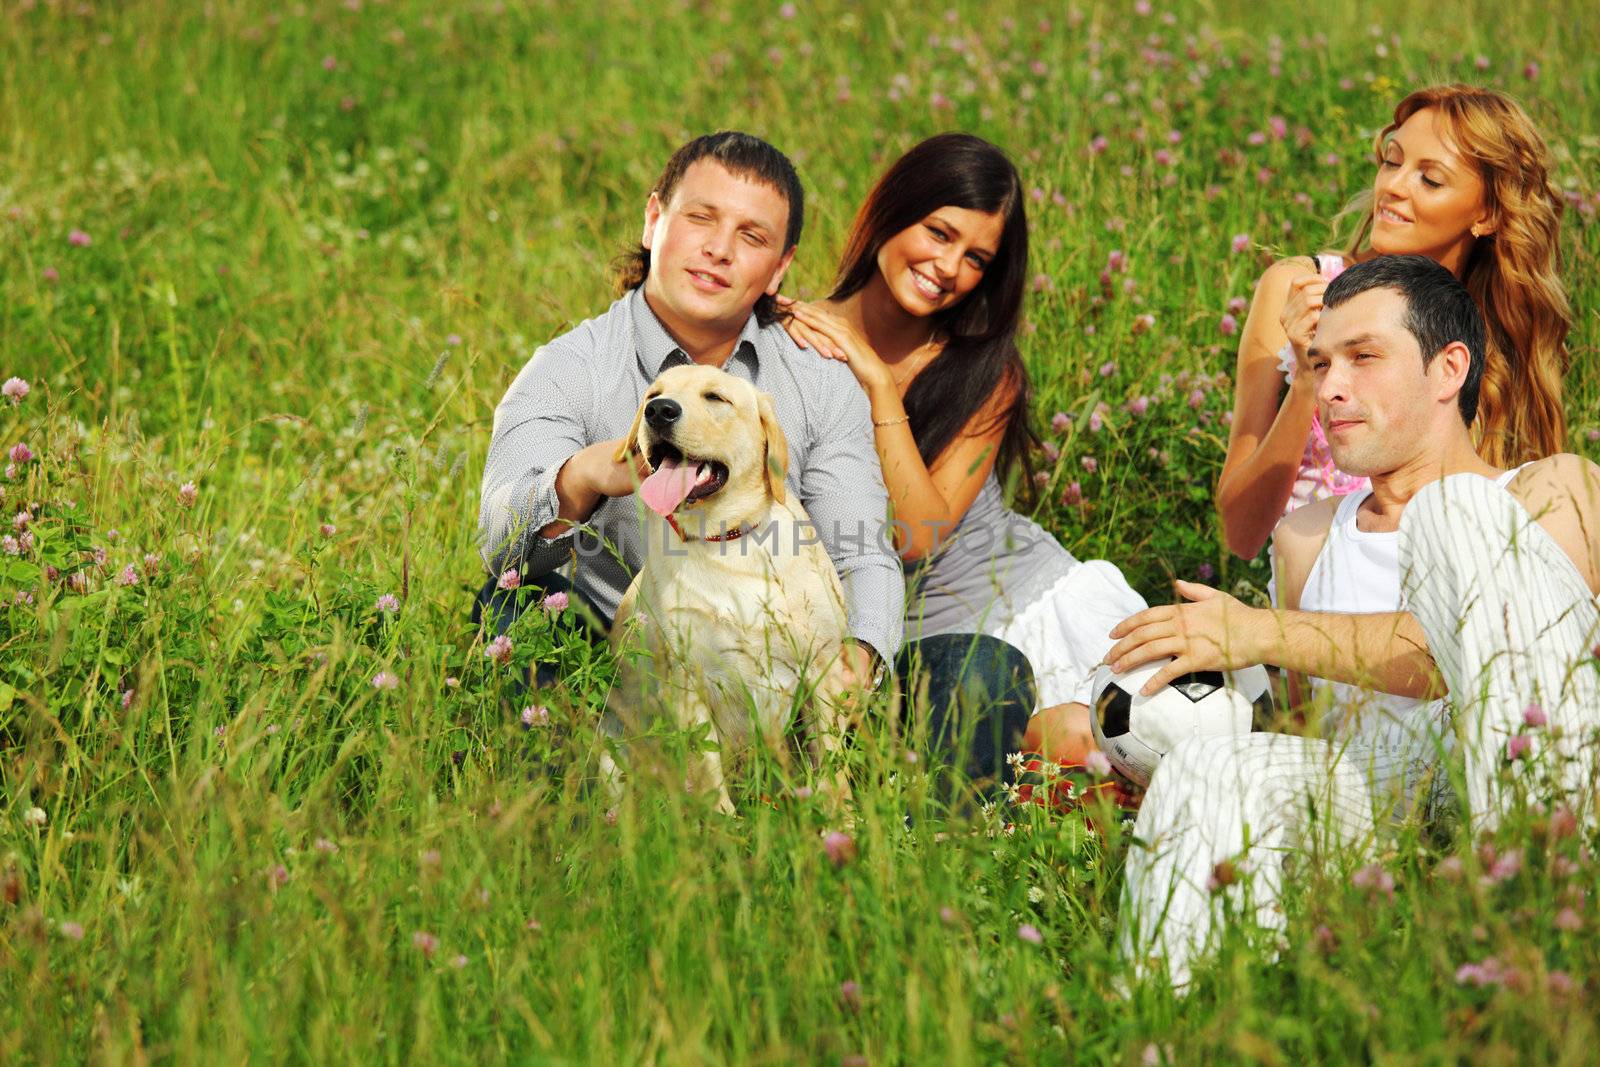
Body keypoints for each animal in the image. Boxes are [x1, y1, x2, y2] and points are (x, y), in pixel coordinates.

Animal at [601, 363, 851, 812]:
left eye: (715, 397)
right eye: (653, 395)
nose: (659, 411)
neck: (727, 540)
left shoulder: (822, 669)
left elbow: (833, 772)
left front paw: (845, 821)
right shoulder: (687, 684)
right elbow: (708, 777)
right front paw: (723, 825)